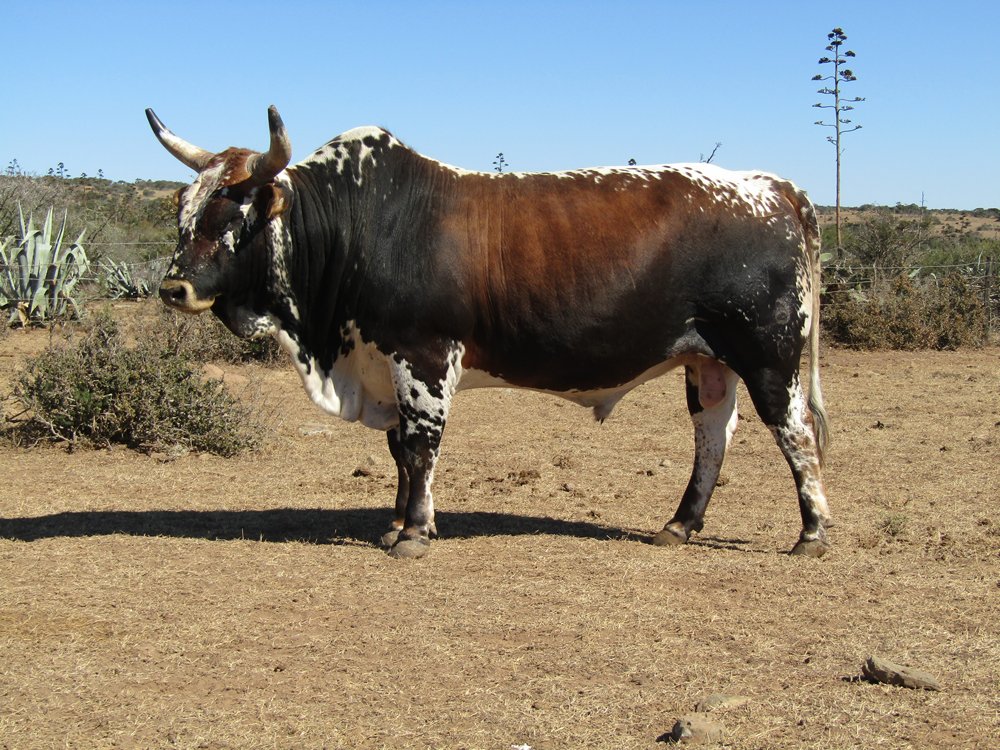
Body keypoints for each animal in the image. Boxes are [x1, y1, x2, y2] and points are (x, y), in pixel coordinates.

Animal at [148, 108, 832, 560]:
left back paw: (812, 534)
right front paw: (398, 524)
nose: (173, 288)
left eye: (233, 215)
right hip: (708, 359)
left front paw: (415, 535)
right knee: (713, 434)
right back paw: (680, 525)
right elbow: (398, 451)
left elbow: (420, 447)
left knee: (795, 433)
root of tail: (775, 186)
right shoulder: (384, 360)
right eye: (183, 209)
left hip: (769, 356)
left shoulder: (423, 355)